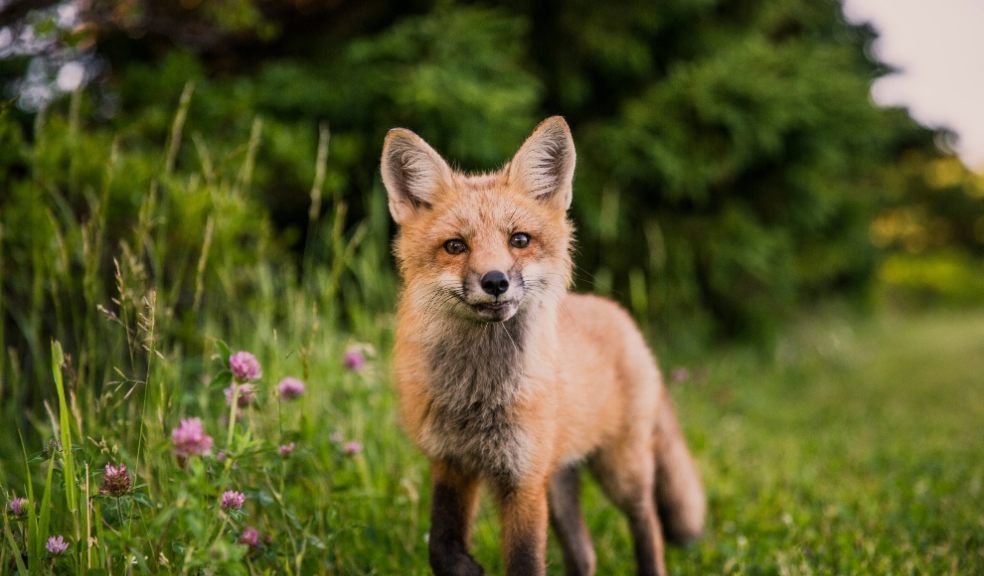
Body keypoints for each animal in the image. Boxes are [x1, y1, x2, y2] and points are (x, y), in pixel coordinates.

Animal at [380, 117, 704, 576]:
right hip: (560, 479)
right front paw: (468, 568)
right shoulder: (452, 463)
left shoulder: (524, 479)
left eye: (519, 240)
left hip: (621, 470)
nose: (495, 281)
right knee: (585, 554)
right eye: (455, 246)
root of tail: (618, 313)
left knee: (649, 525)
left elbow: (525, 561)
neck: (479, 396)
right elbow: (440, 547)